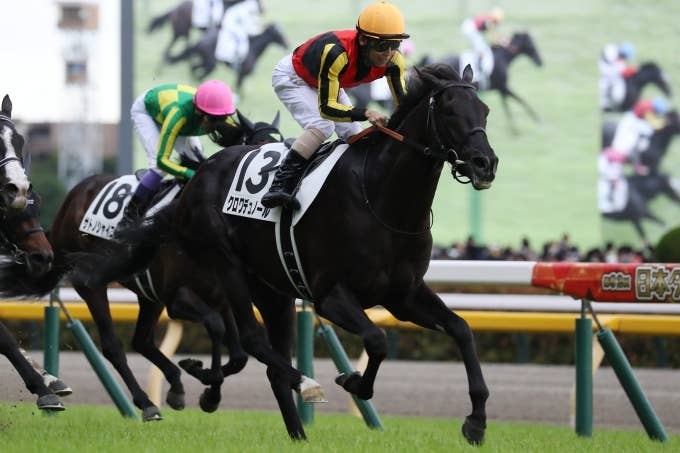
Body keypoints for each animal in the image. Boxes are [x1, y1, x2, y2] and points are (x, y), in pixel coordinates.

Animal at [0, 113, 287, 421]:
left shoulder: (220, 297)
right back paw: (147, 402)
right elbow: (215, 326)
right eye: (258, 154)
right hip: (92, 285)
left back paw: (173, 385)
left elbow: (238, 355)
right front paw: (205, 381)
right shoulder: (178, 298)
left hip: (149, 294)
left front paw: (209, 392)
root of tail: (70, 202)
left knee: (142, 341)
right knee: (114, 346)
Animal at [108, 64, 498, 443]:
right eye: (449, 110)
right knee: (252, 339)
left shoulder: (404, 295)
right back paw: (303, 384)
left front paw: (476, 421)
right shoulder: (330, 295)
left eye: (484, 110)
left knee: (271, 365)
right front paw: (352, 381)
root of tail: (197, 177)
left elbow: (461, 329)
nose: (485, 163)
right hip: (227, 264)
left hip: (272, 291)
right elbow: (377, 340)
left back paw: (295, 432)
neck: (382, 198)